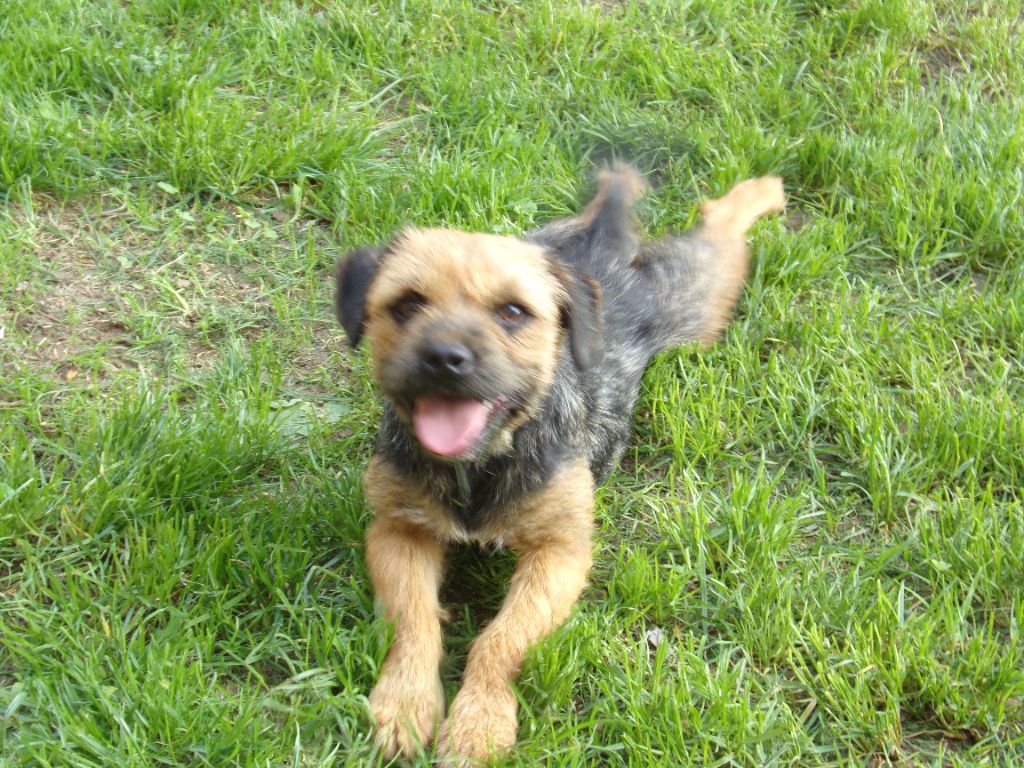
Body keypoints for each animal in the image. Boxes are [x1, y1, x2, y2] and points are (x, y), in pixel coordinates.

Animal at [334, 166, 785, 762]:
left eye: (512, 312)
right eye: (407, 304)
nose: (445, 358)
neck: (482, 464)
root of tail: (599, 247)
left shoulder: (560, 553)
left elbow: (501, 640)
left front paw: (478, 723)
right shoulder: (397, 531)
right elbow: (413, 621)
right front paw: (404, 702)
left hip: (694, 298)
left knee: (719, 225)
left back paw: (762, 192)